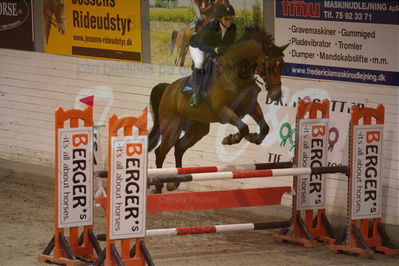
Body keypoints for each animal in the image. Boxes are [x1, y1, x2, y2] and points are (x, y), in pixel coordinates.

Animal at [148, 27, 290, 193]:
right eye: (269, 65)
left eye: (282, 65)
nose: (276, 95)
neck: (235, 74)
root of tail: (168, 89)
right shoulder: (223, 111)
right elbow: (244, 127)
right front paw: (231, 139)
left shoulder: (251, 106)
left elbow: (264, 128)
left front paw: (253, 138)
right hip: (172, 128)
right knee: (160, 152)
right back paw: (158, 185)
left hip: (197, 130)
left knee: (179, 148)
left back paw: (174, 183)